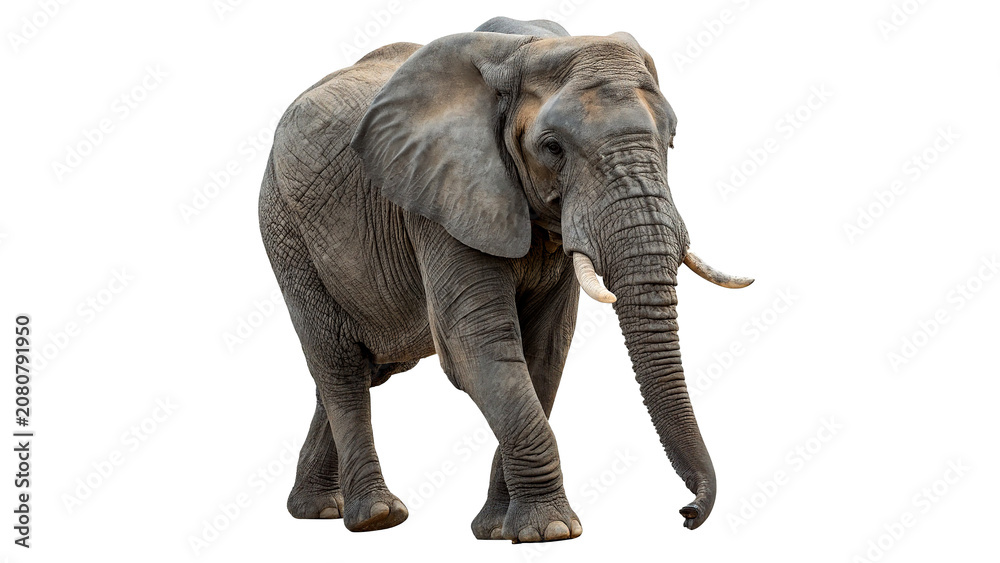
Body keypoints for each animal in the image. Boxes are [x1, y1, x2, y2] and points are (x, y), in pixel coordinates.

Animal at [258, 16, 753, 542]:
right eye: (552, 148)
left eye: (672, 140)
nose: (687, 514)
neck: (523, 50)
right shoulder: (442, 197)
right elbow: (479, 346)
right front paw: (553, 531)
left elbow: (544, 352)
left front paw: (500, 529)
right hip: (285, 226)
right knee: (339, 364)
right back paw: (375, 516)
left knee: (364, 367)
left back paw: (318, 509)